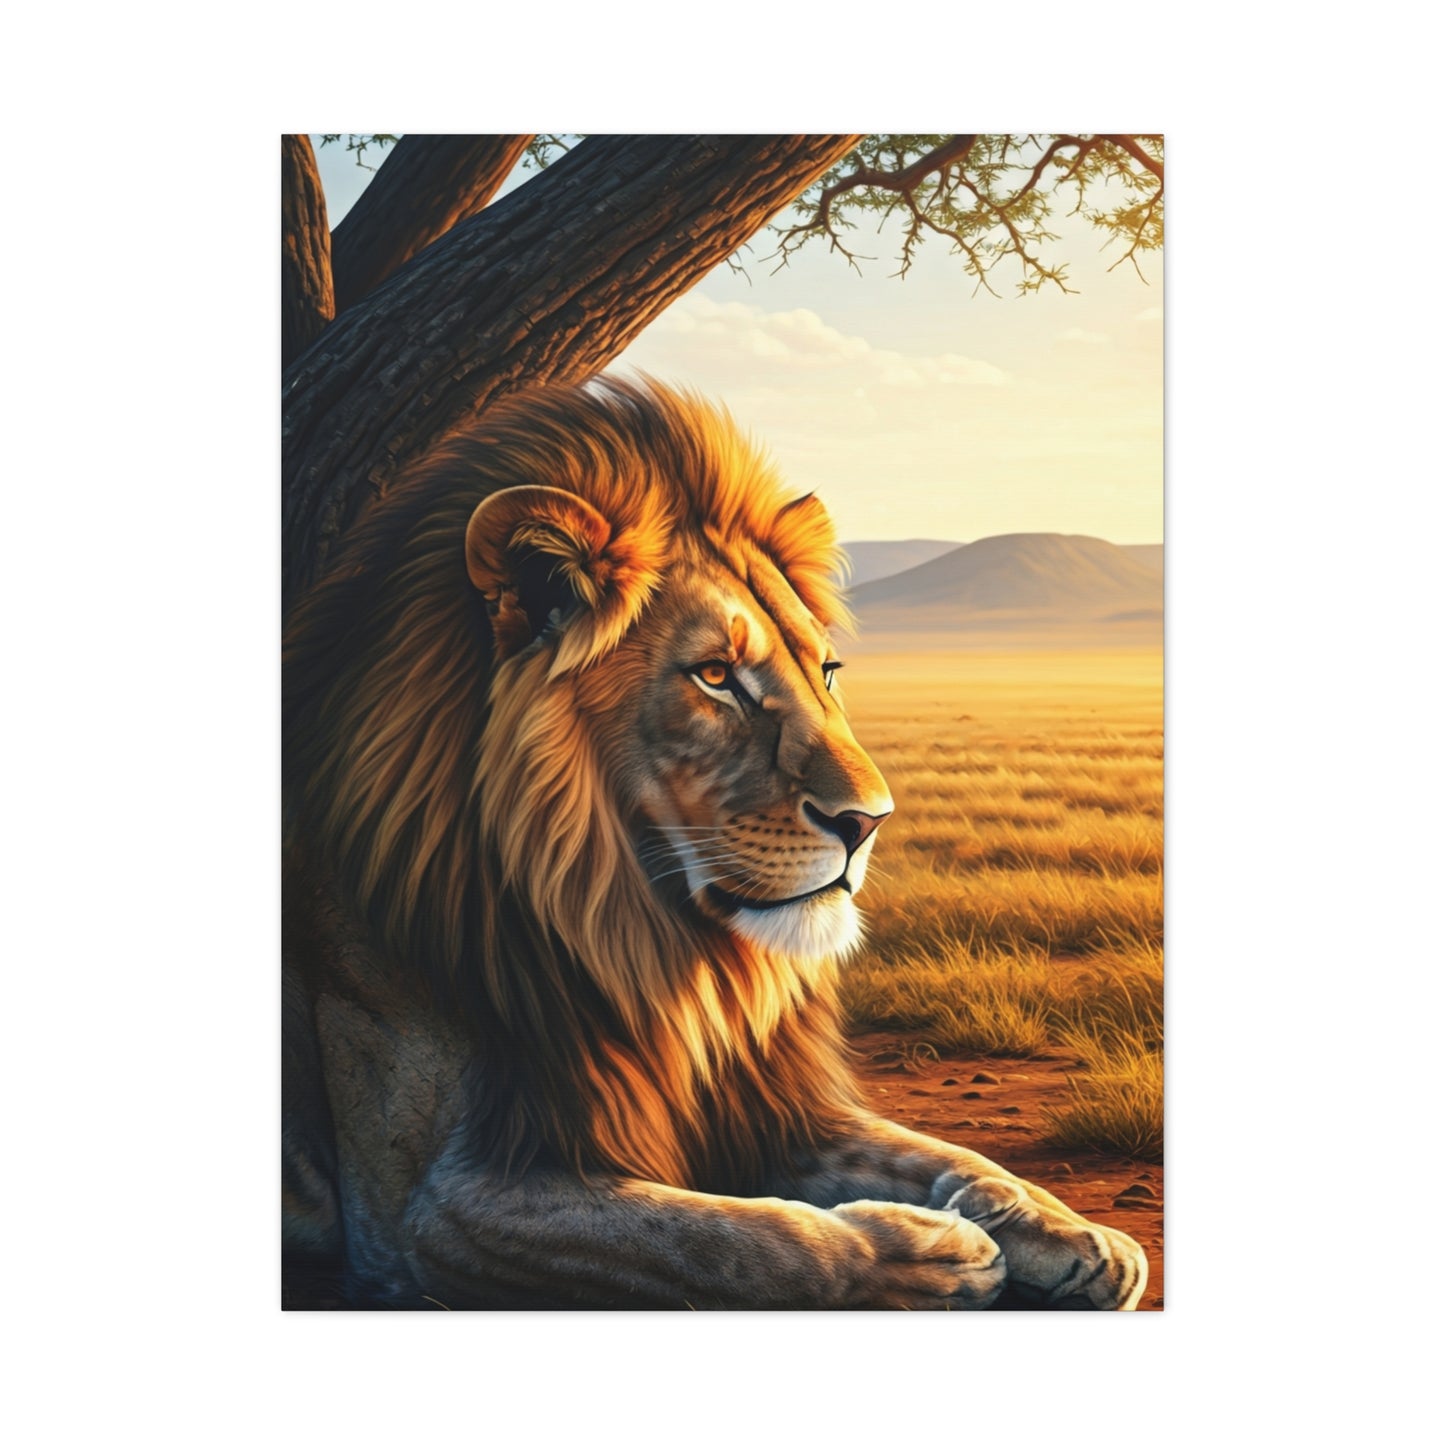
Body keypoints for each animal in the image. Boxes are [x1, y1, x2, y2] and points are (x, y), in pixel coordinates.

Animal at [282, 377, 1148, 1309]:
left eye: (826, 670)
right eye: (714, 676)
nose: (869, 821)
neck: (652, 946)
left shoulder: (767, 1106)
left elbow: (938, 1151)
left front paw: (1070, 1230)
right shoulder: (424, 1214)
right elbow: (727, 1239)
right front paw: (928, 1250)